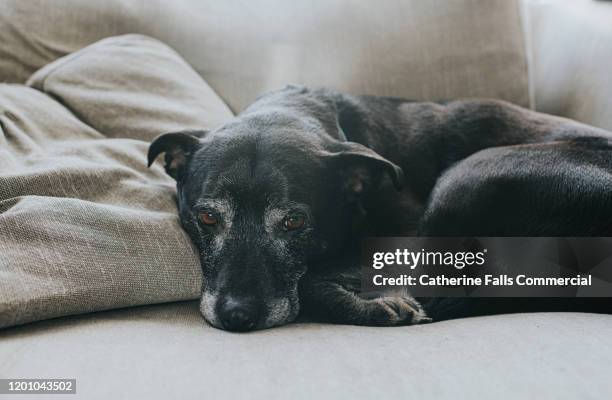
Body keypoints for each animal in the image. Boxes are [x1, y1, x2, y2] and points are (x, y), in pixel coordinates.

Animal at [148, 85, 612, 332]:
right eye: (207, 217)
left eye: (294, 221)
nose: (237, 316)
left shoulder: (405, 235)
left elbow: (315, 280)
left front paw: (373, 305)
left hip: (468, 177)